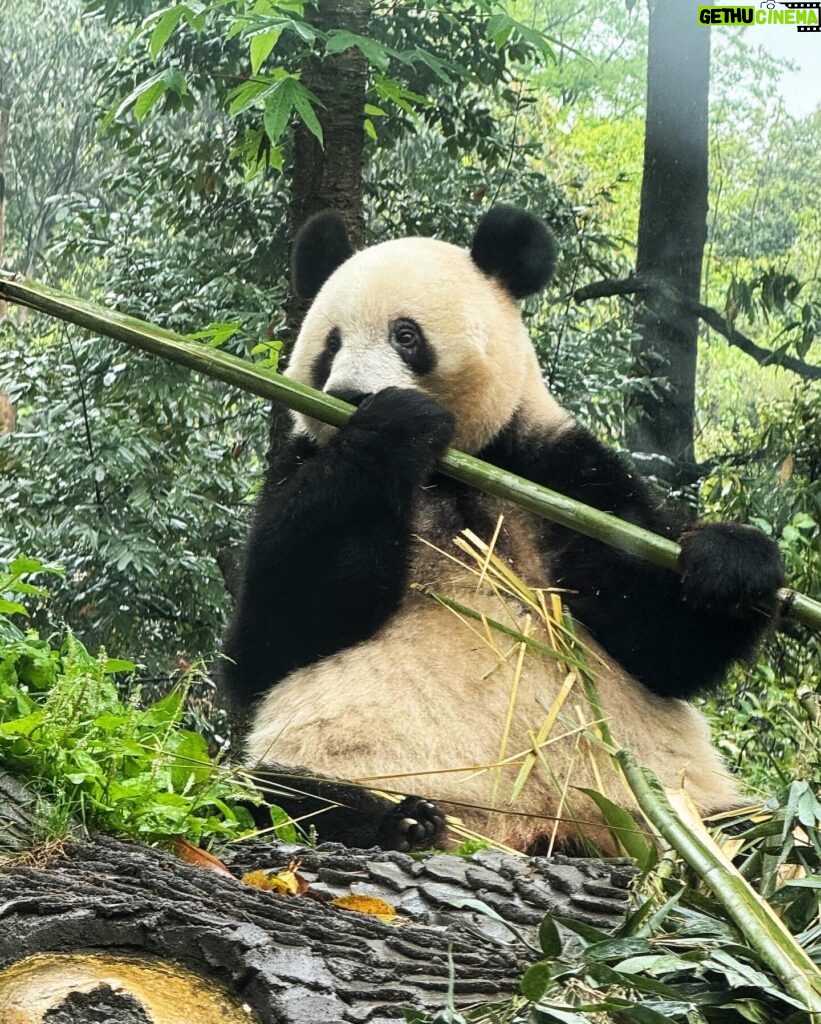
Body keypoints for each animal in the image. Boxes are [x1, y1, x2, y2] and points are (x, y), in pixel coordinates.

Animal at [221, 207, 782, 856]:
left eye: (406, 335)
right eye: (330, 343)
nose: (350, 396)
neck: (449, 470)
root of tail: (524, 827)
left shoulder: (552, 471)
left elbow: (662, 640)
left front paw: (731, 563)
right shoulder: (301, 465)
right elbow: (272, 638)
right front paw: (392, 425)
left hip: (664, 800)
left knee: (756, 830)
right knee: (281, 795)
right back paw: (402, 822)